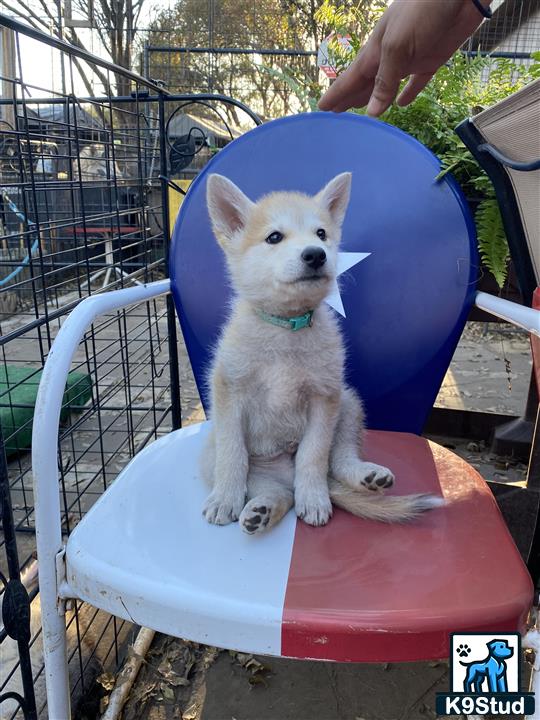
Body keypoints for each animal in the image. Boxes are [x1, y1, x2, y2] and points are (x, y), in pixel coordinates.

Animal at [200, 173, 440, 536]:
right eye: (274, 237)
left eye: (322, 234)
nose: (316, 255)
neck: (286, 330)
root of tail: (285, 475)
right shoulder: (230, 394)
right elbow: (232, 455)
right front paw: (225, 499)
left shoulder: (324, 399)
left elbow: (313, 456)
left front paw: (314, 499)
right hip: (243, 463)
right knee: (278, 492)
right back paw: (260, 510)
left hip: (349, 403)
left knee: (336, 461)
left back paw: (366, 476)